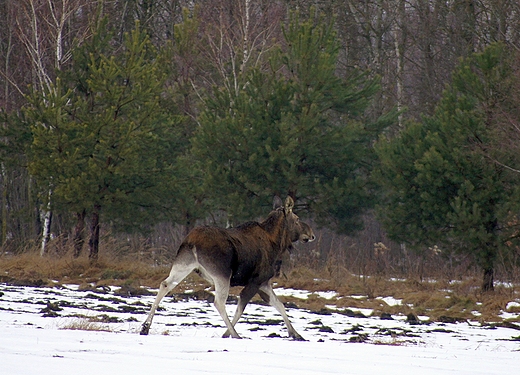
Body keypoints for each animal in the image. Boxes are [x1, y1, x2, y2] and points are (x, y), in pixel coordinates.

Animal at [140, 197, 314, 340]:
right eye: (297, 219)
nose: (311, 234)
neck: (277, 244)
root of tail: (191, 241)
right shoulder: (256, 280)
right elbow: (242, 306)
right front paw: (227, 333)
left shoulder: (264, 283)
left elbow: (279, 305)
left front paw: (296, 334)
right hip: (222, 274)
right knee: (218, 302)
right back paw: (235, 334)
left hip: (183, 264)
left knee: (165, 284)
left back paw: (145, 327)